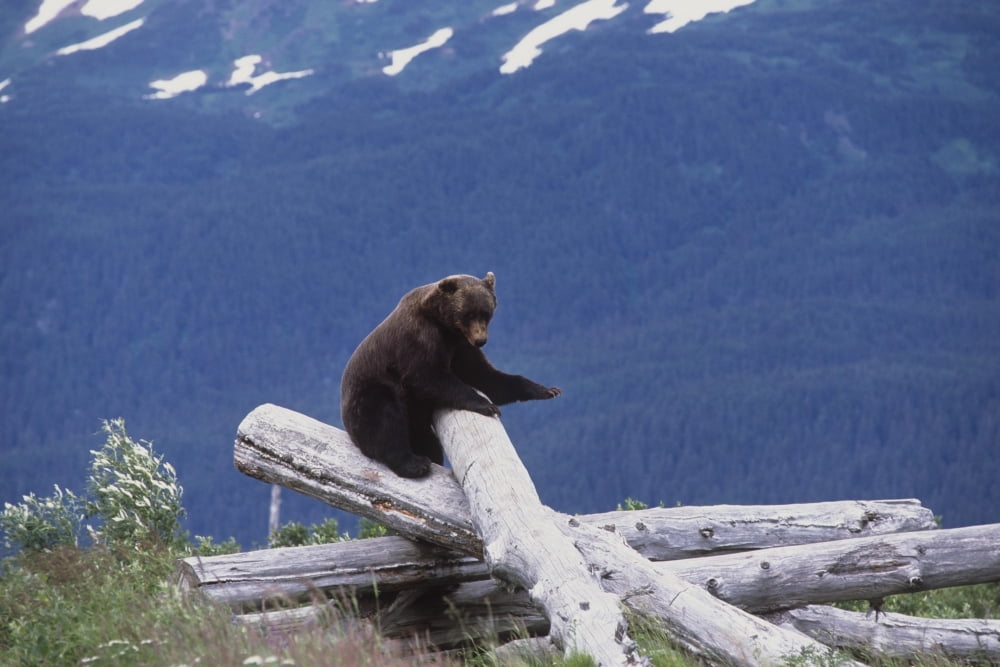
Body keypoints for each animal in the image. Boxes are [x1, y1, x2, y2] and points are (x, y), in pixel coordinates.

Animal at [341, 272, 561, 478]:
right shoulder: (418, 341)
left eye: (486, 313)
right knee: (385, 421)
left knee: (428, 441)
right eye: (468, 314)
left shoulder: (460, 347)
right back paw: (415, 464)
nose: (481, 340)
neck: (445, 326)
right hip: (372, 392)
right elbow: (427, 377)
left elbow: (485, 376)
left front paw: (548, 390)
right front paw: (487, 405)